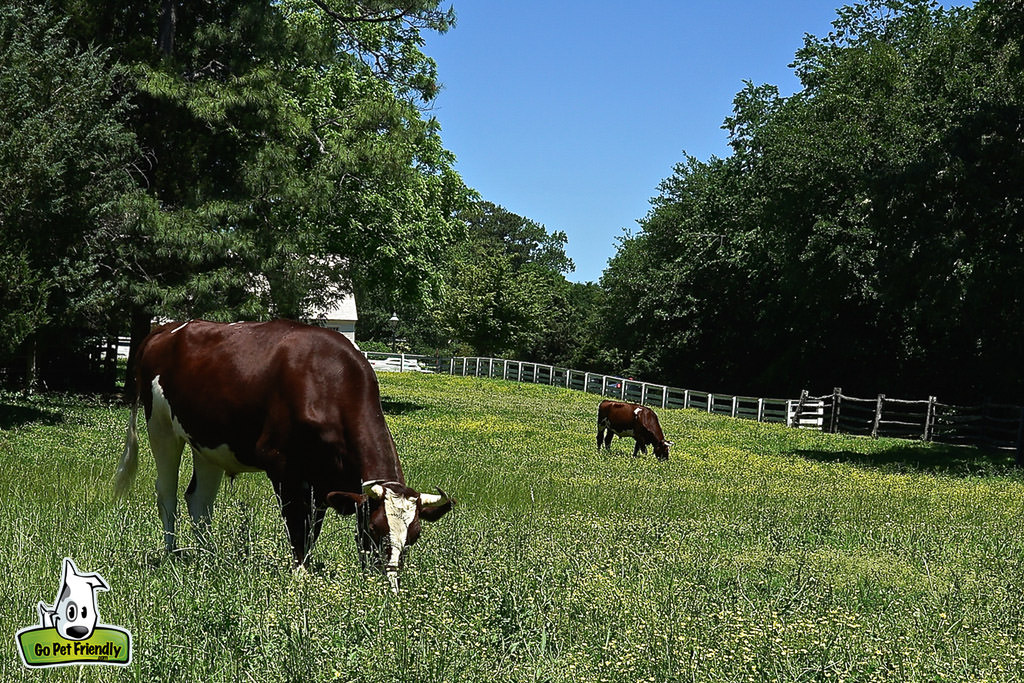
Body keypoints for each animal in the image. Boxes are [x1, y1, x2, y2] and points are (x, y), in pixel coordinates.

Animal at [114, 319, 453, 592]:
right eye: (374, 529)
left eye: (414, 537)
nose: (389, 586)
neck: (325, 381)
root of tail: (167, 328)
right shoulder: (283, 467)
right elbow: (298, 524)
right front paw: (300, 575)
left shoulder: (323, 480)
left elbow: (312, 526)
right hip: (161, 427)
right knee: (167, 493)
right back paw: (172, 554)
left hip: (207, 443)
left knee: (199, 500)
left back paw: (209, 557)